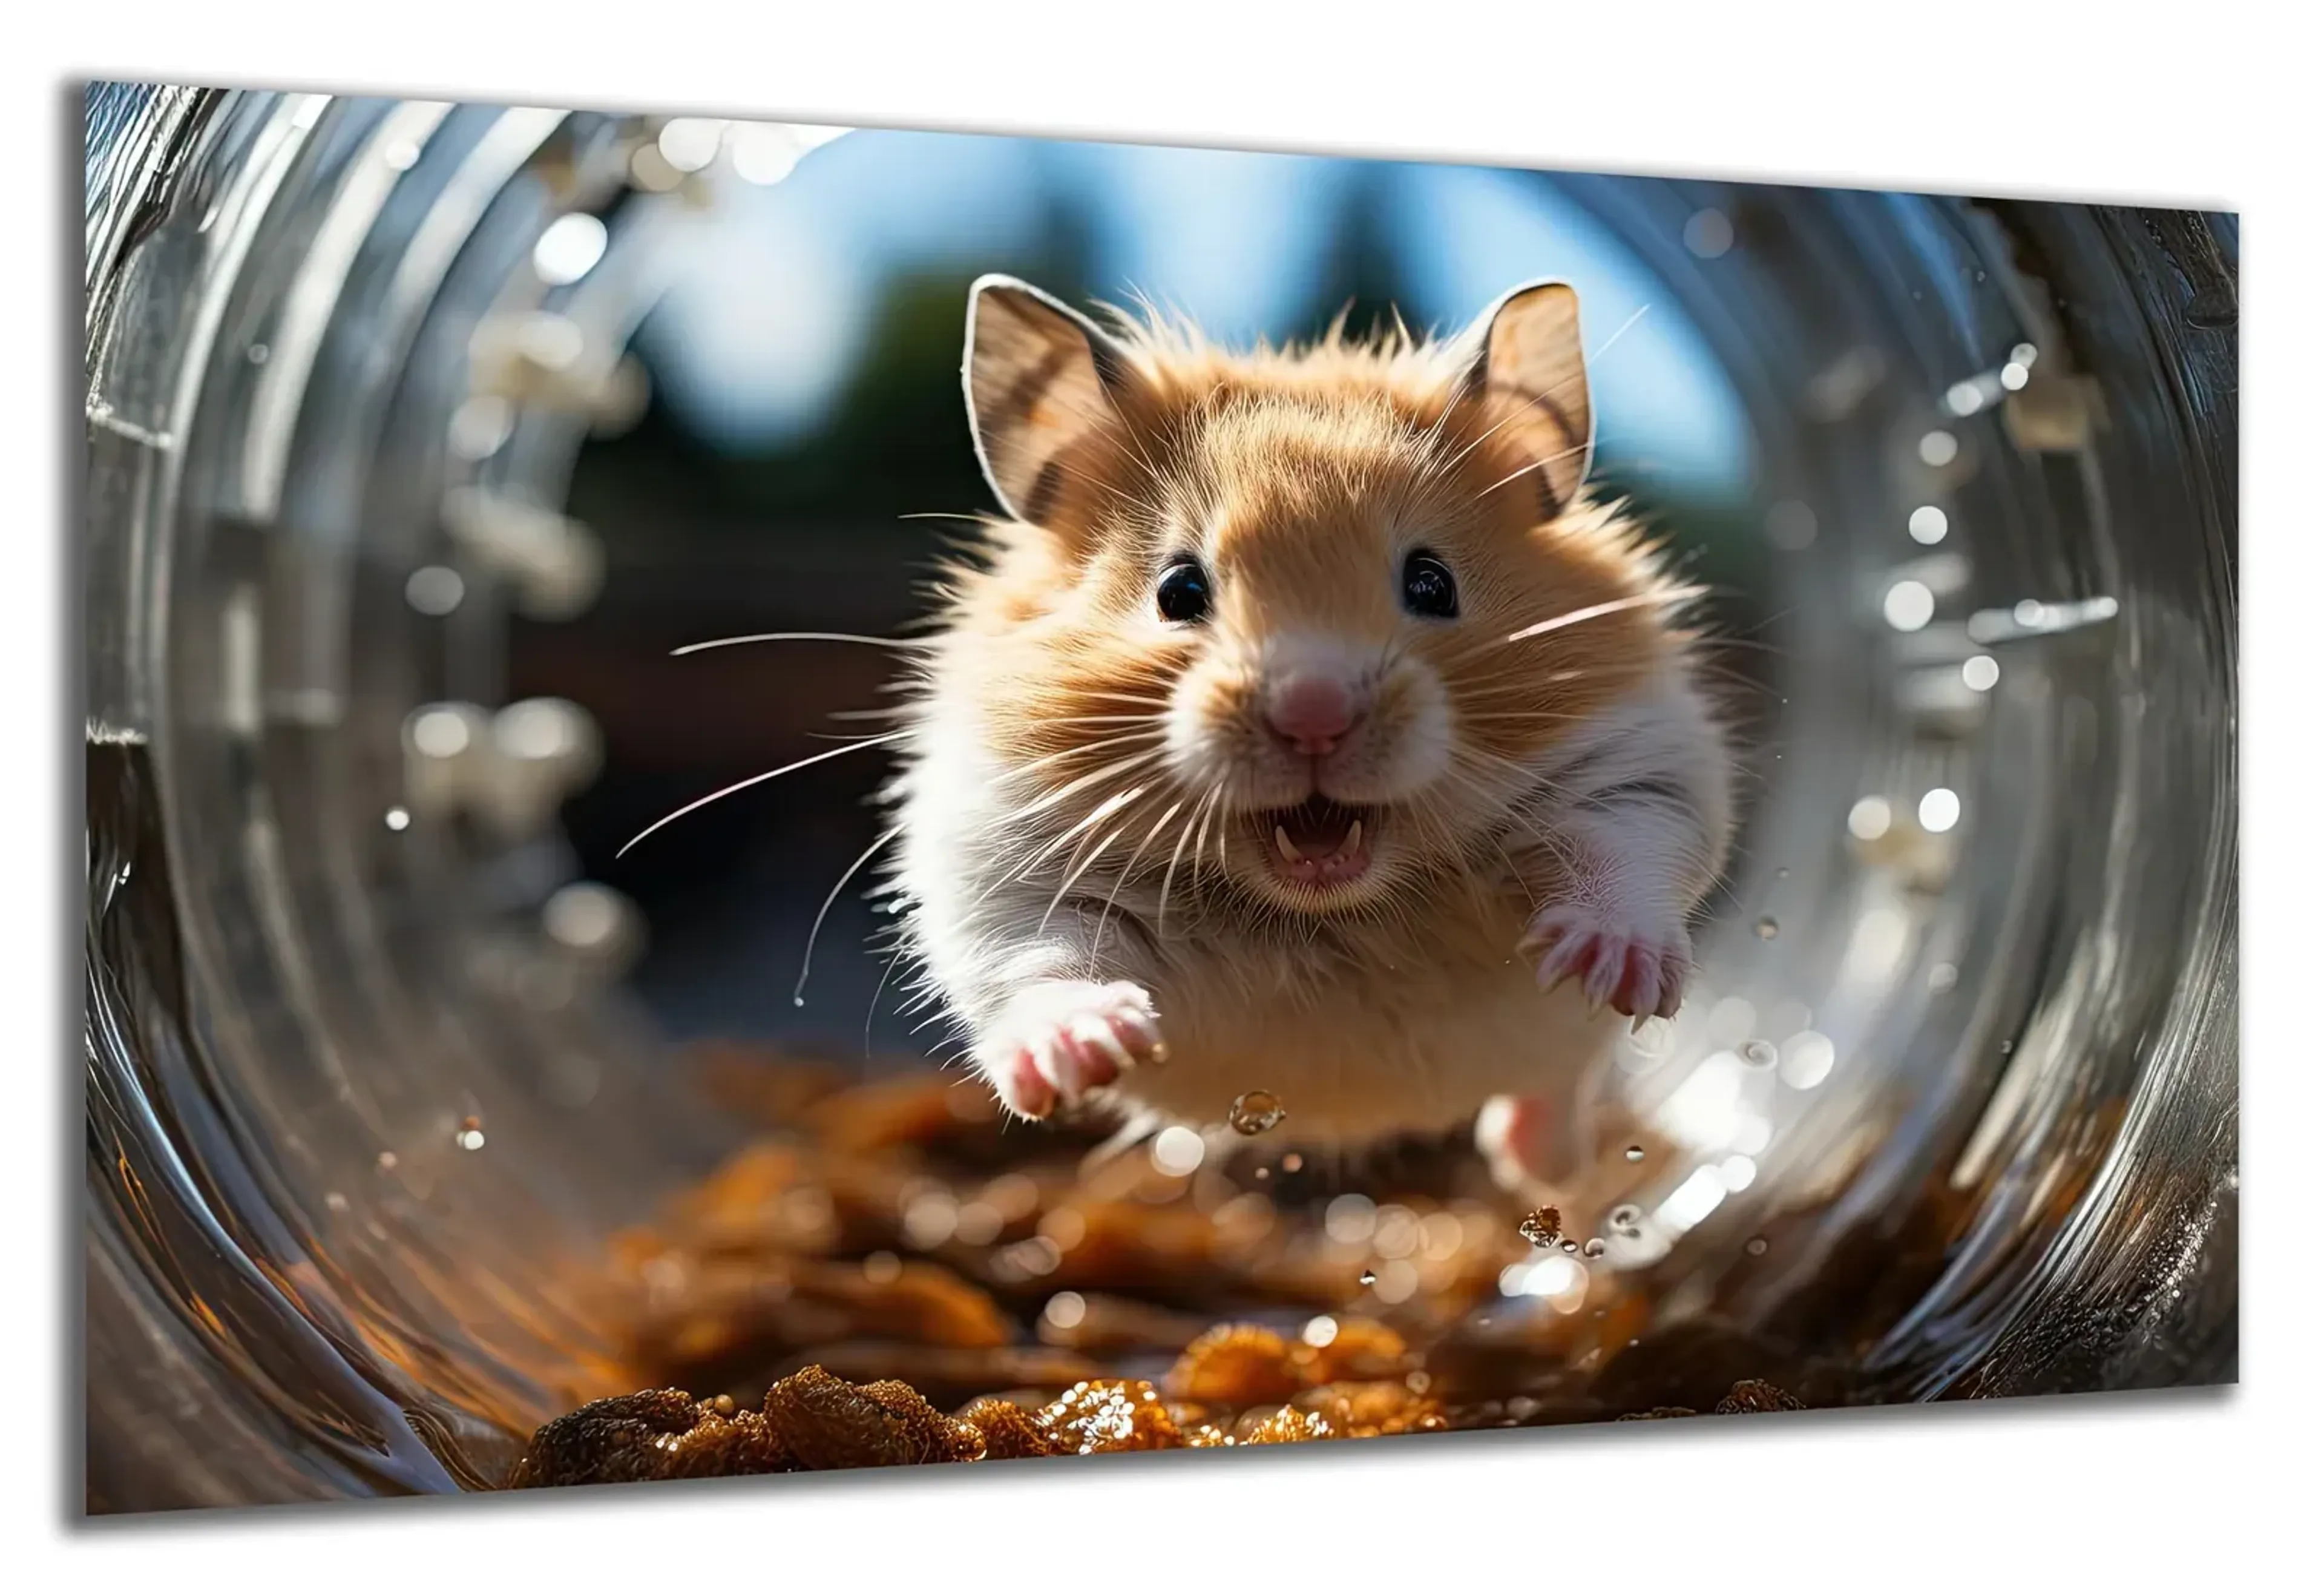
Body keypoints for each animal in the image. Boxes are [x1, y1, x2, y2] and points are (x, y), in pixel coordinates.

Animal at [881, 274, 1735, 1188]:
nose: (1314, 715)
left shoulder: (1638, 761)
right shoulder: (997, 855)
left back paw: (1537, 1160)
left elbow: (1622, 853)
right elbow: (1038, 957)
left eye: (1433, 583)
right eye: (1179, 590)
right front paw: (1086, 1054)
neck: (1327, 905)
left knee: (1560, 1084)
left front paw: (1614, 970)